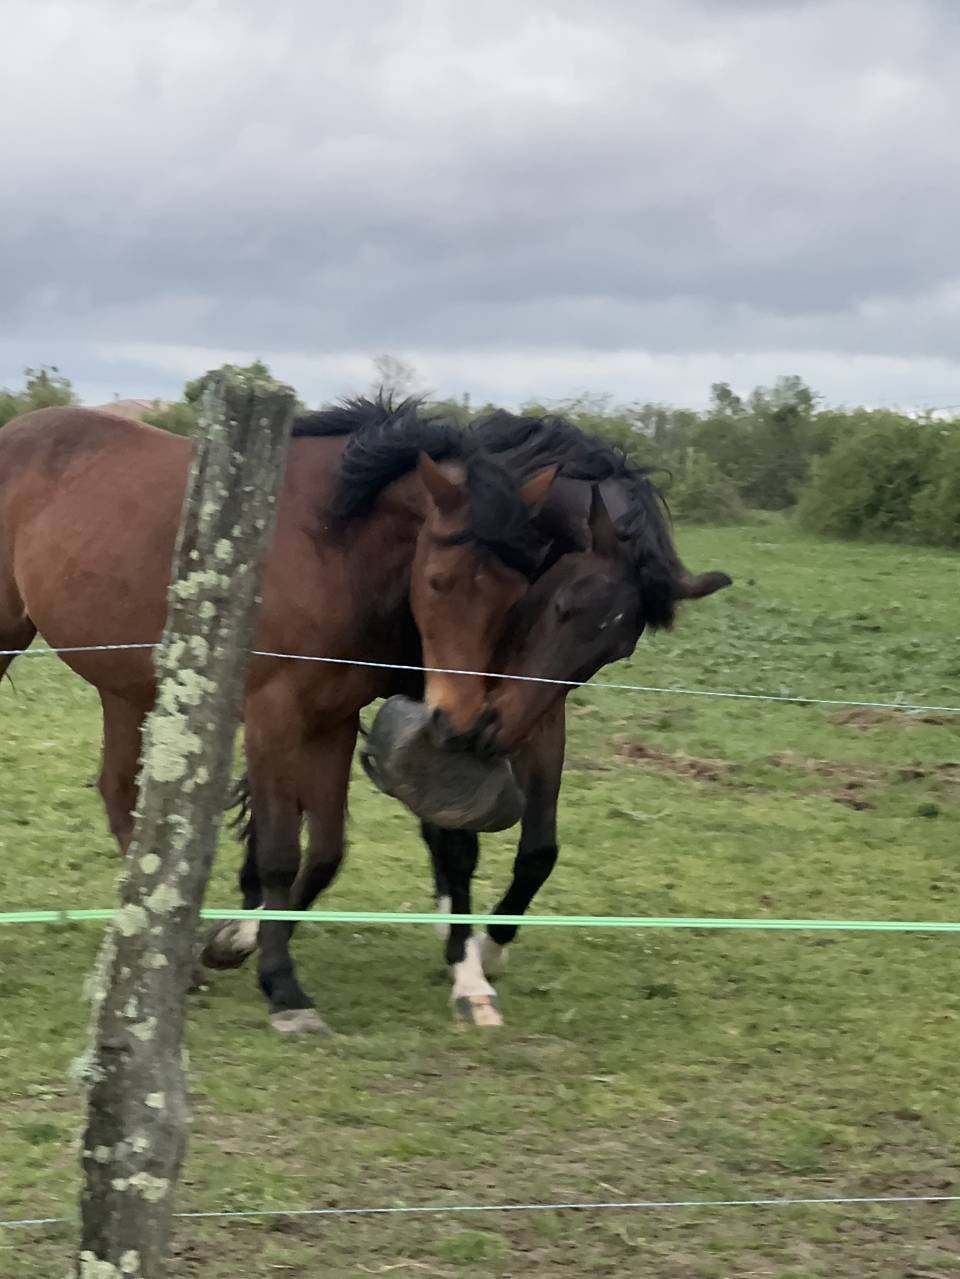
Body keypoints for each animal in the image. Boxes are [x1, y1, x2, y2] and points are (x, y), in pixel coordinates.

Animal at [0, 394, 560, 1033]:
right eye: (439, 581)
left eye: (519, 591)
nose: (459, 723)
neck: (330, 545)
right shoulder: (272, 716)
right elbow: (277, 855)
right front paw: (283, 989)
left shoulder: (333, 720)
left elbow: (325, 853)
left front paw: (238, 948)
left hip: (126, 688)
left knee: (120, 795)